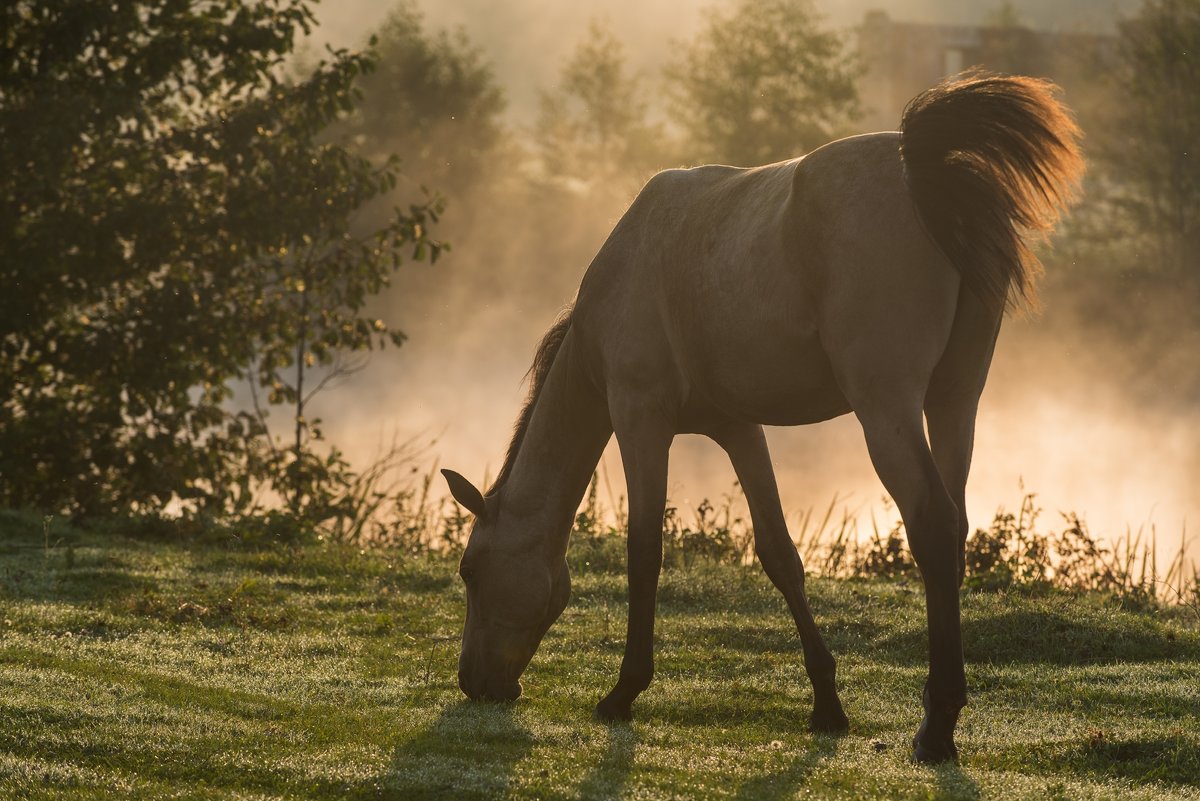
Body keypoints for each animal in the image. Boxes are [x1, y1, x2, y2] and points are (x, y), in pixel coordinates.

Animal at [436, 73, 1084, 762]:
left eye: (470, 571)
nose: (476, 682)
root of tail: (918, 162)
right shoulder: (738, 429)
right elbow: (779, 554)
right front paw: (827, 704)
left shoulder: (641, 419)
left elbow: (645, 550)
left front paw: (624, 691)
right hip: (955, 401)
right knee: (953, 527)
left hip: (887, 409)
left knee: (931, 525)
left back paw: (936, 726)